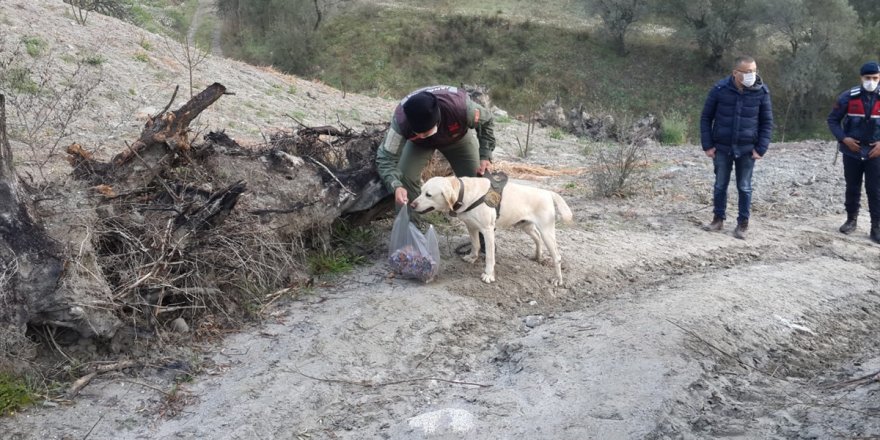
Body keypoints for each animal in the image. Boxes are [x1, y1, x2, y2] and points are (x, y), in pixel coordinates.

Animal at [410, 175, 576, 286]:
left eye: (428, 195)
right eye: (421, 191)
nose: (412, 204)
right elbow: (475, 244)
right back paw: (538, 256)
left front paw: (489, 275)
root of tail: (547, 192)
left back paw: (558, 279)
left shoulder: (488, 230)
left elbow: (490, 257)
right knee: (537, 238)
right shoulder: (471, 226)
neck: (465, 192)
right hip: (525, 226)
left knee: (557, 256)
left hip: (547, 231)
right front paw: (472, 257)